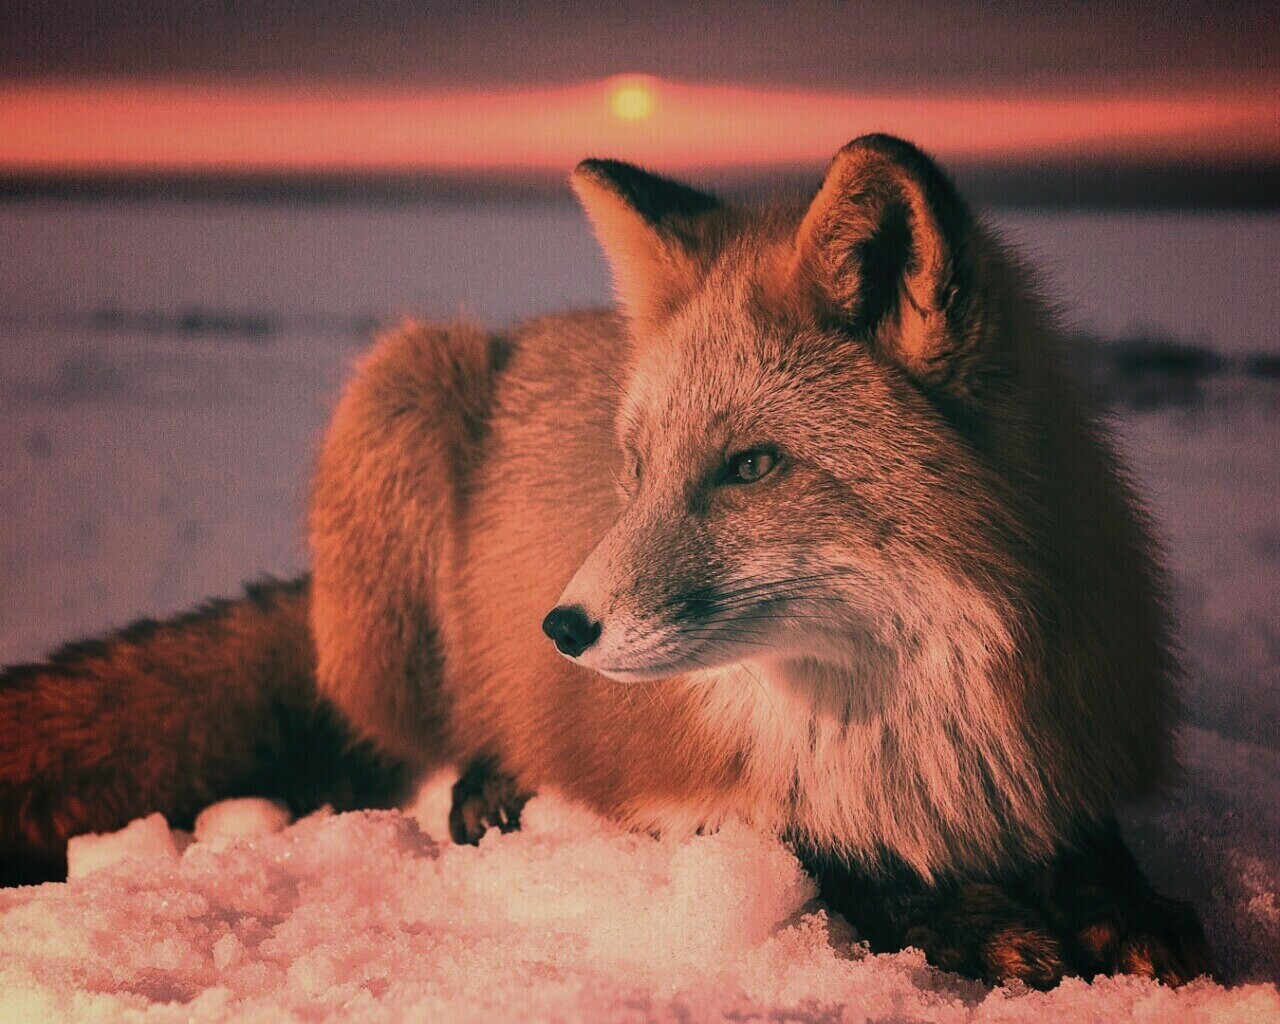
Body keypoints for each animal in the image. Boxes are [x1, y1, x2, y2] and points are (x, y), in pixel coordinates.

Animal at [1, 134, 1210, 987]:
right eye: (634, 469)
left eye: (750, 465)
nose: (561, 629)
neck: (904, 723)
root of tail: (534, 327)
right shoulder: (665, 780)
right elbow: (819, 856)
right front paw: (973, 920)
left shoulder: (1057, 739)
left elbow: (1093, 848)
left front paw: (1124, 910)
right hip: (401, 396)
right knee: (410, 741)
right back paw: (484, 784)